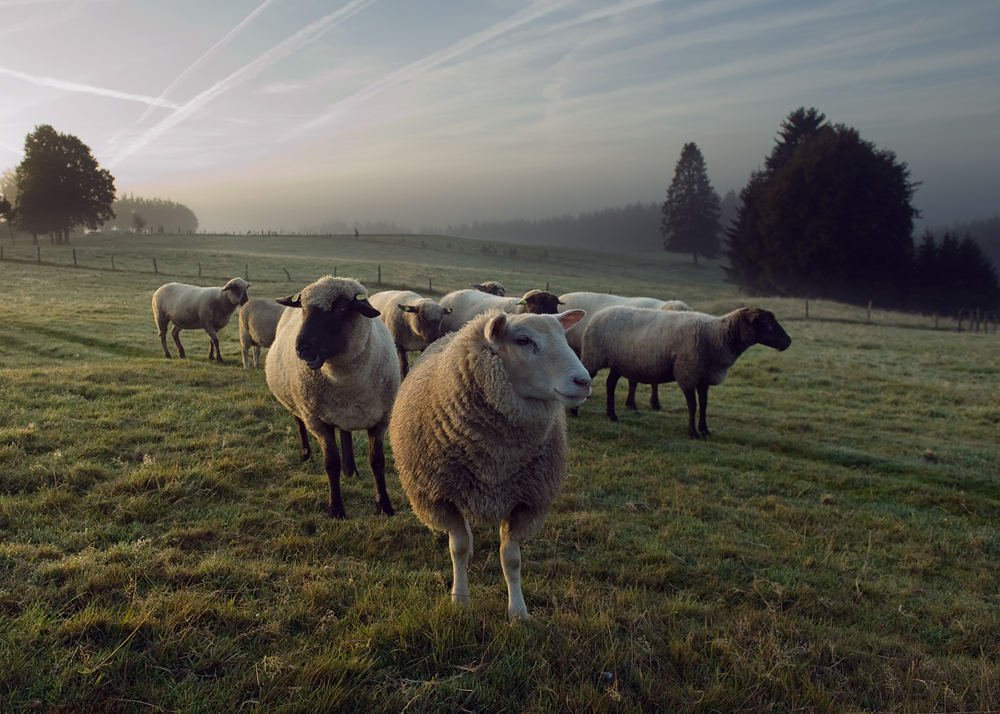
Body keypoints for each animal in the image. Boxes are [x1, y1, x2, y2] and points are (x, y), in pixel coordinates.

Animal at [264, 274, 400, 516]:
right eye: (303, 307)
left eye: (342, 307)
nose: (301, 347)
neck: (345, 381)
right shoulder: (318, 421)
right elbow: (331, 464)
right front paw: (336, 508)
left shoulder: (381, 419)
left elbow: (377, 462)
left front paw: (384, 505)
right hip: (298, 404)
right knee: (299, 424)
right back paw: (306, 455)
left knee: (345, 433)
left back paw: (350, 469)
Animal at [388, 308, 592, 616]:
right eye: (523, 340)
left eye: (563, 336)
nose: (584, 381)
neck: (496, 459)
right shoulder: (443, 497)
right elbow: (458, 549)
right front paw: (460, 598)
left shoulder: (524, 502)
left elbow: (511, 560)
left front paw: (518, 610)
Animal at [580, 304, 788, 436]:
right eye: (766, 323)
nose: (788, 341)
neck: (716, 335)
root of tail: (600, 313)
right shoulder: (688, 371)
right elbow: (693, 405)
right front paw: (693, 432)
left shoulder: (703, 376)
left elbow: (704, 404)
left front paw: (705, 430)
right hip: (593, 356)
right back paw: (581, 412)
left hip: (618, 362)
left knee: (610, 384)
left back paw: (612, 416)